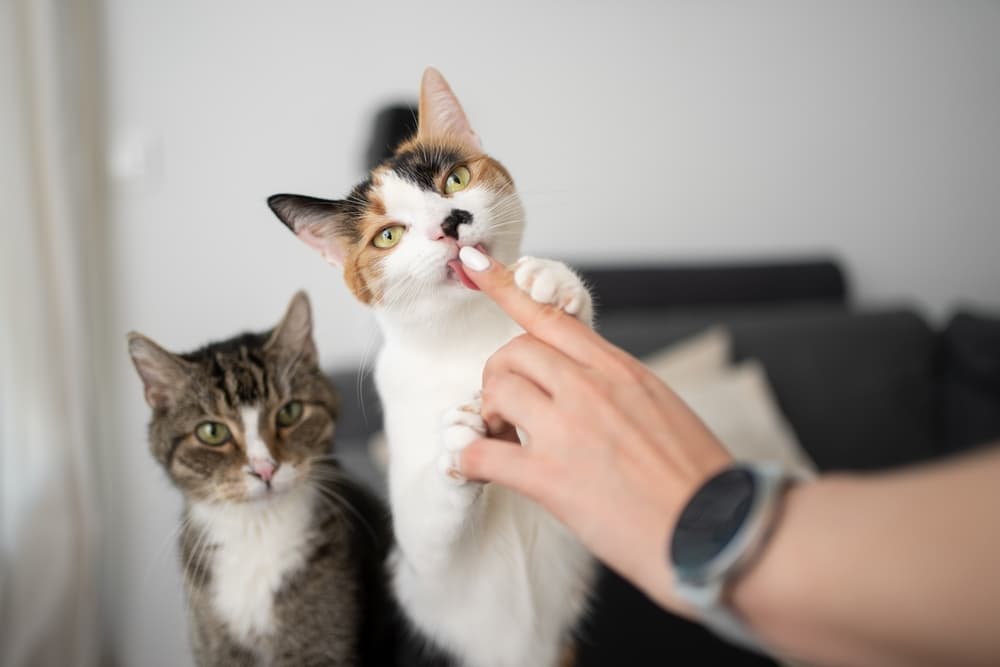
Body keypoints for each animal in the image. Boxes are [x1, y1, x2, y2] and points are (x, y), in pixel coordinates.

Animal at [123, 294, 392, 667]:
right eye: (212, 432)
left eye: (290, 412)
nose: (265, 468)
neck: (257, 531)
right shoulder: (215, 646)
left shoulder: (322, 647)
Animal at [266, 69, 596, 667]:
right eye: (388, 235)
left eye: (456, 179)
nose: (450, 222)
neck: (465, 335)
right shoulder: (420, 573)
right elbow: (430, 527)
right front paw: (459, 440)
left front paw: (554, 284)